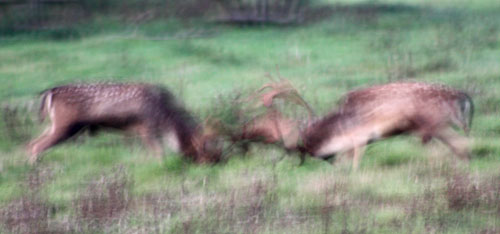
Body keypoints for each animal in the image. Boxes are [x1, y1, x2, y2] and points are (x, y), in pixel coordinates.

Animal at [26, 82, 222, 165]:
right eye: (202, 150)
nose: (214, 163)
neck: (165, 117)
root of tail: (50, 93)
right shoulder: (146, 126)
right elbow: (159, 153)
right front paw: (162, 166)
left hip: (55, 124)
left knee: (32, 142)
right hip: (65, 125)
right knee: (37, 145)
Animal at [234, 80, 472, 170]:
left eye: (304, 148)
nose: (325, 159)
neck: (339, 129)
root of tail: (464, 99)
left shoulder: (360, 138)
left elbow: (355, 165)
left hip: (436, 124)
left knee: (461, 143)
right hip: (436, 128)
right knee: (458, 145)